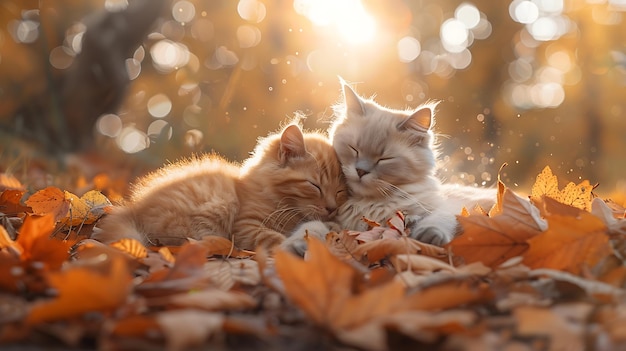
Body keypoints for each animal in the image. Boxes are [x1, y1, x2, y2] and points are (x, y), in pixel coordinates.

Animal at [92, 125, 346, 252]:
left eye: (339, 192)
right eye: (314, 185)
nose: (331, 208)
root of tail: (134, 207)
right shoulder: (245, 224)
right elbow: (270, 237)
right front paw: (291, 244)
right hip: (216, 207)